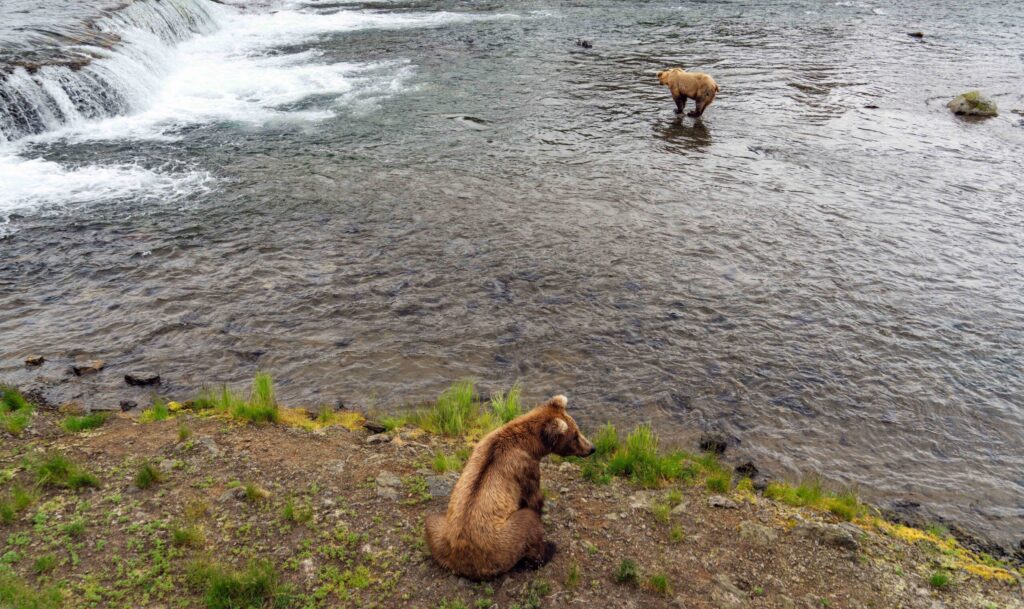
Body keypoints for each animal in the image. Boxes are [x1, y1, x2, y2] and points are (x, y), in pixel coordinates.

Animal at [424, 395, 595, 580]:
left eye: (578, 430)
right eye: (575, 436)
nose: (592, 448)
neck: (531, 445)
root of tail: (461, 562)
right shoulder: (525, 468)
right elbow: (534, 499)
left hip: (442, 531)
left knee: (430, 520)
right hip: (503, 544)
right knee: (528, 522)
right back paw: (549, 548)